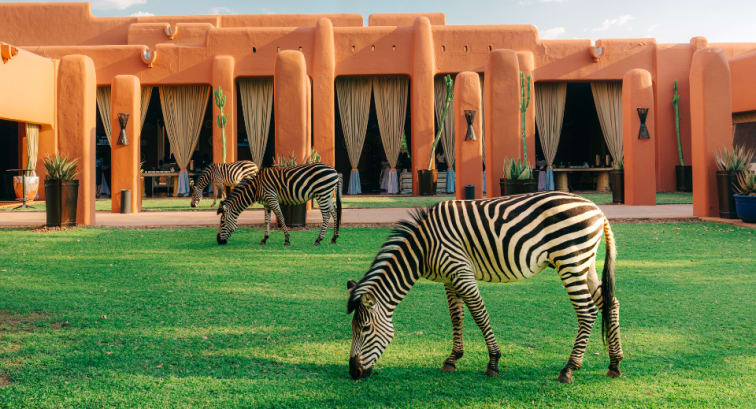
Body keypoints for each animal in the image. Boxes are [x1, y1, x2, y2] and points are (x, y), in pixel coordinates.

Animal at [346, 192, 623, 383]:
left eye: (365, 329)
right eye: (353, 329)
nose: (353, 372)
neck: (422, 248)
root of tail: (597, 210)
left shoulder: (460, 271)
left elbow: (480, 315)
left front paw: (493, 362)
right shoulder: (449, 278)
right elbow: (456, 317)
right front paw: (452, 359)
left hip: (570, 261)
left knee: (587, 312)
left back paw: (569, 368)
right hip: (585, 264)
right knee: (610, 303)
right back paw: (615, 364)